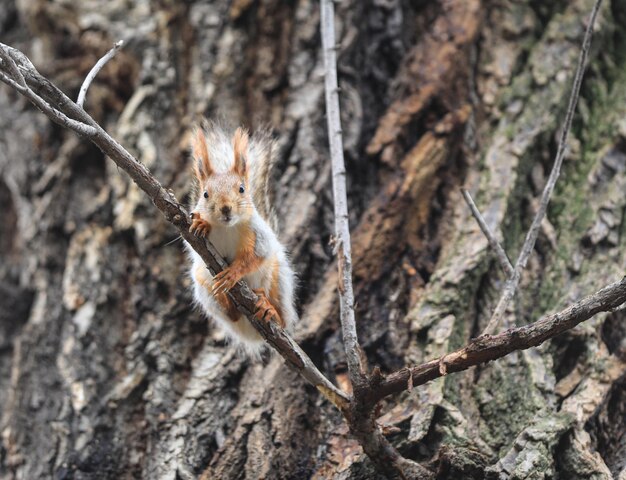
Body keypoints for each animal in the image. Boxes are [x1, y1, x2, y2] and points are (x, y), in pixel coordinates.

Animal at [184, 122, 296, 358]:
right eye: (205, 194)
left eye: (242, 189)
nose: (226, 208)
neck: (227, 227)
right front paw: (203, 224)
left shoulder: (258, 234)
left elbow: (255, 257)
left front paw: (234, 273)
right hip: (201, 284)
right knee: (231, 315)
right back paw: (227, 303)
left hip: (279, 279)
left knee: (283, 319)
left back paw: (269, 309)